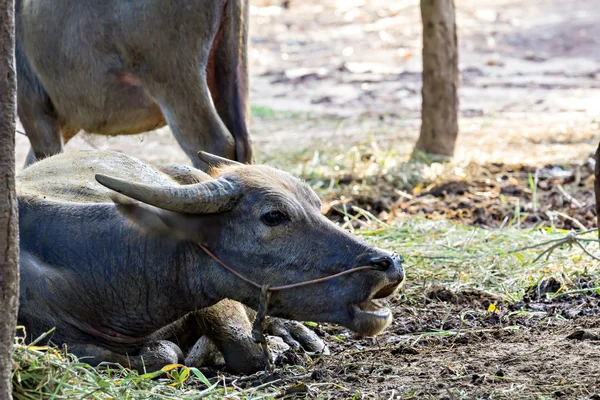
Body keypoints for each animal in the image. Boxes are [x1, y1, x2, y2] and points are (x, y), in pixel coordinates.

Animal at [16, 0, 251, 167]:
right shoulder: (66, 117)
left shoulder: (32, 104)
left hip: (176, 82)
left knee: (213, 145)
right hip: (229, 66)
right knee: (242, 144)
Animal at [18, 148, 406, 374]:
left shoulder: (215, 298)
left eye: (317, 204)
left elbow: (241, 345)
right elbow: (166, 353)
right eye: (274, 216)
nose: (389, 263)